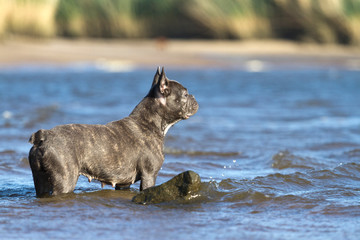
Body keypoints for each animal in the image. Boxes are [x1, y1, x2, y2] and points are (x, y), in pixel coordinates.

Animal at [28, 67, 198, 197]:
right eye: (185, 94)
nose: (194, 97)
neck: (148, 123)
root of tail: (43, 135)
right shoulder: (149, 175)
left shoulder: (123, 183)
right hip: (65, 179)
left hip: (40, 179)